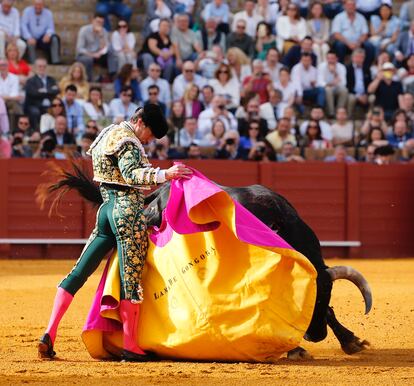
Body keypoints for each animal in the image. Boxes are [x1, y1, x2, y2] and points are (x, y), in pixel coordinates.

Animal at [42, 166, 372, 358]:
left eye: (327, 294)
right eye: (310, 297)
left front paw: (351, 341)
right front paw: (296, 349)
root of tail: (155, 195)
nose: (316, 334)